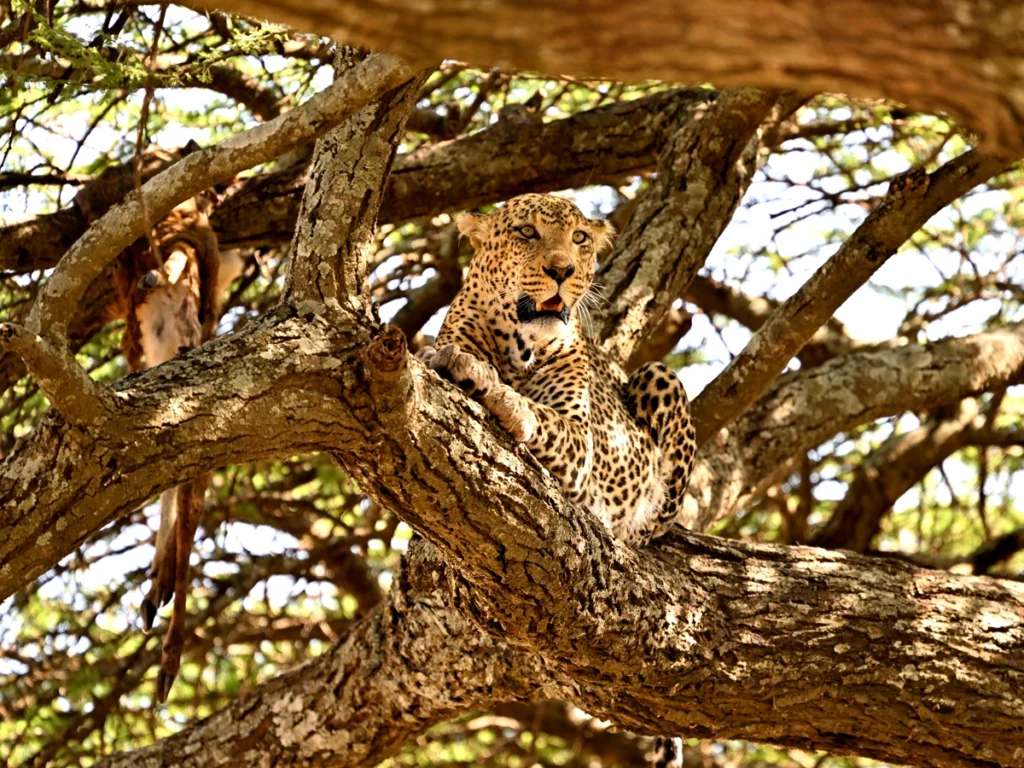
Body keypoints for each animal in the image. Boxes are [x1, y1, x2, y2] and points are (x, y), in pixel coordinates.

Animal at [415, 195, 696, 768]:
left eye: (580, 239)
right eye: (527, 232)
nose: (562, 270)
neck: (520, 346)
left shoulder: (580, 442)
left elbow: (537, 414)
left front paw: (488, 385)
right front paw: (461, 363)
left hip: (659, 376)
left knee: (649, 525)